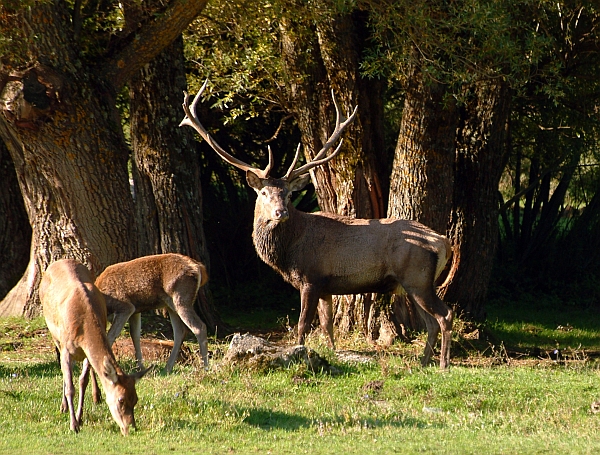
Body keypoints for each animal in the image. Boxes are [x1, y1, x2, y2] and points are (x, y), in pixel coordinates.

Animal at [40, 260, 148, 434]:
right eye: (121, 400)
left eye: (136, 399)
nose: (131, 428)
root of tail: (58, 261)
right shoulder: (66, 349)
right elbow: (70, 387)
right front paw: (73, 425)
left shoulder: (87, 352)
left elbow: (82, 381)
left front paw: (80, 418)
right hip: (54, 334)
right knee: (62, 370)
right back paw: (63, 407)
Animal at [180, 82, 452, 370]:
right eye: (264, 193)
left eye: (289, 194)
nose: (281, 212)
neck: (288, 254)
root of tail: (444, 242)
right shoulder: (325, 287)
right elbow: (327, 325)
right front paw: (331, 353)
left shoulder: (310, 277)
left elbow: (302, 325)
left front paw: (299, 354)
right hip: (414, 283)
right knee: (431, 322)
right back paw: (424, 361)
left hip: (417, 277)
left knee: (445, 315)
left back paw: (443, 363)